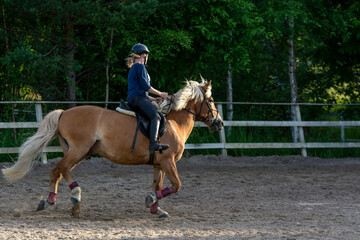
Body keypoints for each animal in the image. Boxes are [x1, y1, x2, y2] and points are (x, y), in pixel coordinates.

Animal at [2, 80, 222, 218]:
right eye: (211, 101)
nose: (219, 123)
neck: (174, 123)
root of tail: (64, 112)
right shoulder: (168, 162)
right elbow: (176, 185)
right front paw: (151, 201)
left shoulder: (159, 164)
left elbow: (157, 186)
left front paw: (156, 209)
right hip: (79, 150)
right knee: (61, 168)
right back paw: (75, 197)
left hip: (81, 153)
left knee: (57, 170)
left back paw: (50, 201)